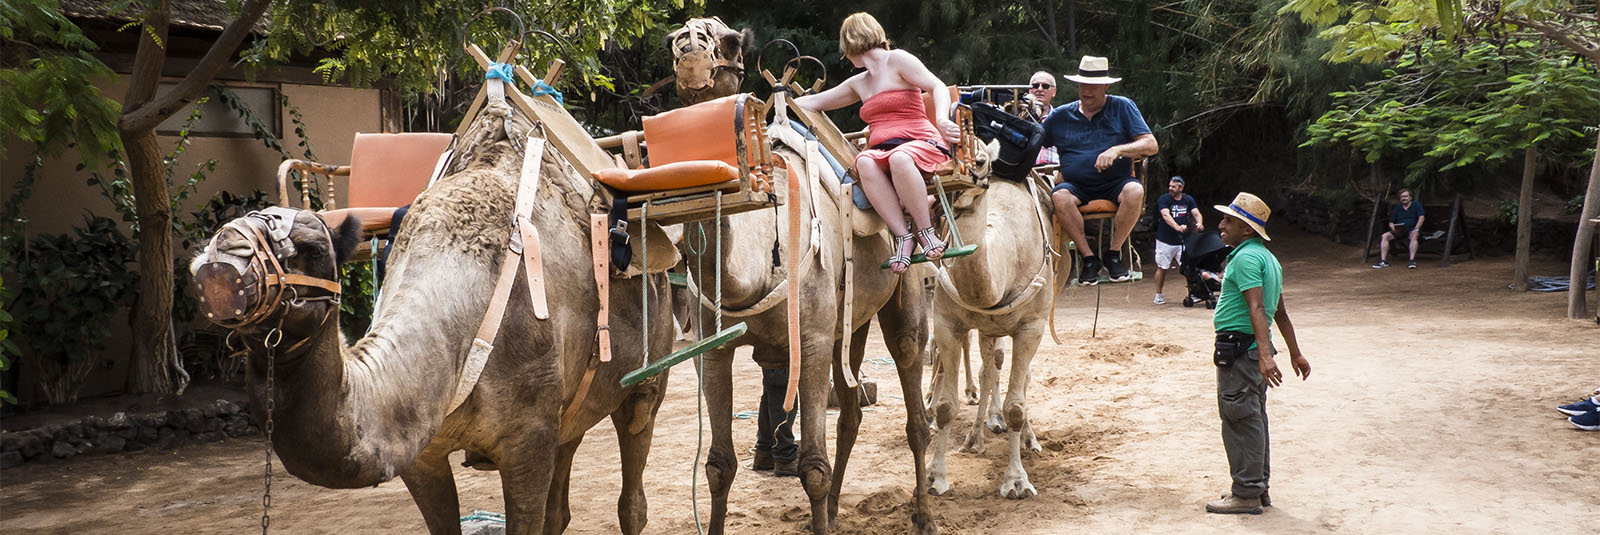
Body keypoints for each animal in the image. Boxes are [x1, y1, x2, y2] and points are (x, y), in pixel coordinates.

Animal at [190, 101, 672, 535]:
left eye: (312, 248)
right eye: (222, 231)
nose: (220, 260)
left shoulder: (529, 438)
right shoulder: (422, 453)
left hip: (647, 380)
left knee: (634, 481)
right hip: (571, 411)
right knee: (564, 488)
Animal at [662, 18, 934, 531]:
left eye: (730, 41)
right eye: (675, 39)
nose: (690, 47)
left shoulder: (809, 340)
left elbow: (813, 467)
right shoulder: (713, 350)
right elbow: (718, 465)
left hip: (903, 291)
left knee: (914, 404)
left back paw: (924, 515)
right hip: (848, 323)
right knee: (850, 410)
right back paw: (834, 510)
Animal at [928, 173, 1062, 499]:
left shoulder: (1031, 327)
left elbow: (1016, 406)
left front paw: (1016, 481)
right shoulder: (947, 322)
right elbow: (946, 406)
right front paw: (935, 477)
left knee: (1010, 373)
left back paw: (1027, 438)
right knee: (988, 367)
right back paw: (974, 437)